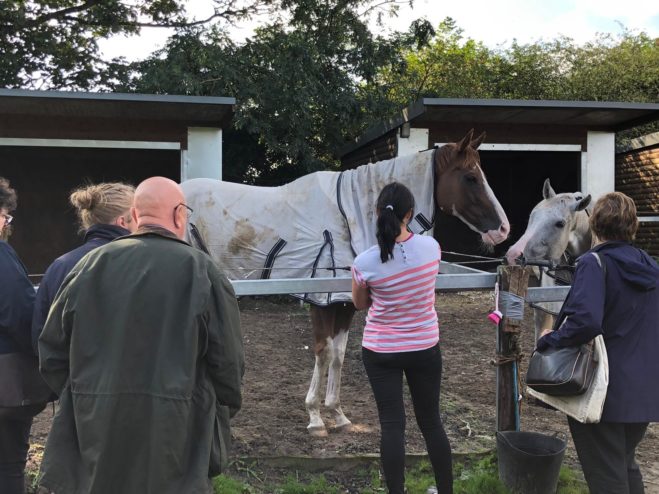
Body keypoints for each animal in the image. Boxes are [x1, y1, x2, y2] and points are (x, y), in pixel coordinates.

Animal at [180, 130, 510, 436]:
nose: (504, 229)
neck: (347, 216)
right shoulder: (321, 299)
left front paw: (337, 414)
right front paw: (315, 418)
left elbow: (338, 354)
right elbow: (323, 351)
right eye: (470, 177)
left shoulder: (344, 302)